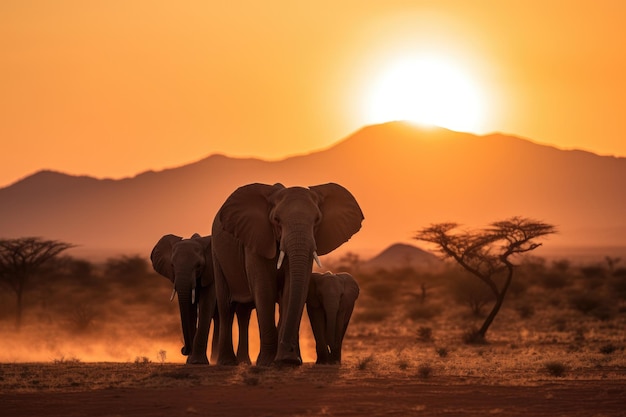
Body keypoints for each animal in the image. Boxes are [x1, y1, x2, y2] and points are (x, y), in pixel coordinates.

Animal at [212, 182, 364, 364]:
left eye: (317, 220)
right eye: (276, 220)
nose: (288, 354)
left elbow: (291, 289)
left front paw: (288, 360)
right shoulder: (256, 240)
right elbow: (264, 289)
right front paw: (267, 362)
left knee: (243, 311)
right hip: (218, 255)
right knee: (226, 307)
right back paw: (227, 362)